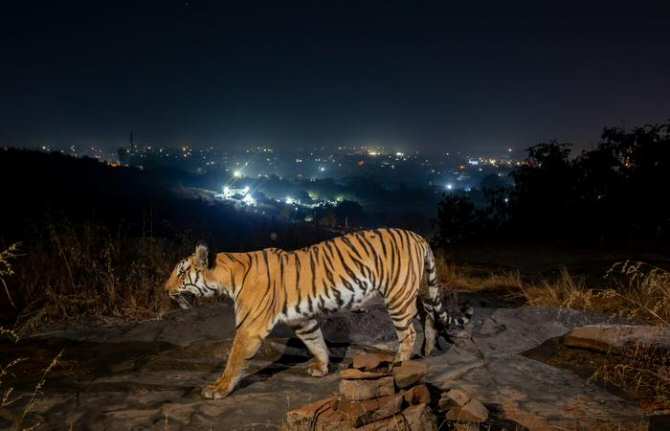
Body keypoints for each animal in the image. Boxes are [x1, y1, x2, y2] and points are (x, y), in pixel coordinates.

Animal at [164, 228, 472, 399]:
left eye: (180, 273)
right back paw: (429, 349)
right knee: (429, 315)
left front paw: (217, 388)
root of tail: (418, 236)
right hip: (416, 291)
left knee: (407, 332)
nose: (165, 289)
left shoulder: (249, 327)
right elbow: (317, 343)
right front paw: (322, 368)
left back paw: (399, 362)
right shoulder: (302, 320)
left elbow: (233, 360)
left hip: (398, 296)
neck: (227, 275)